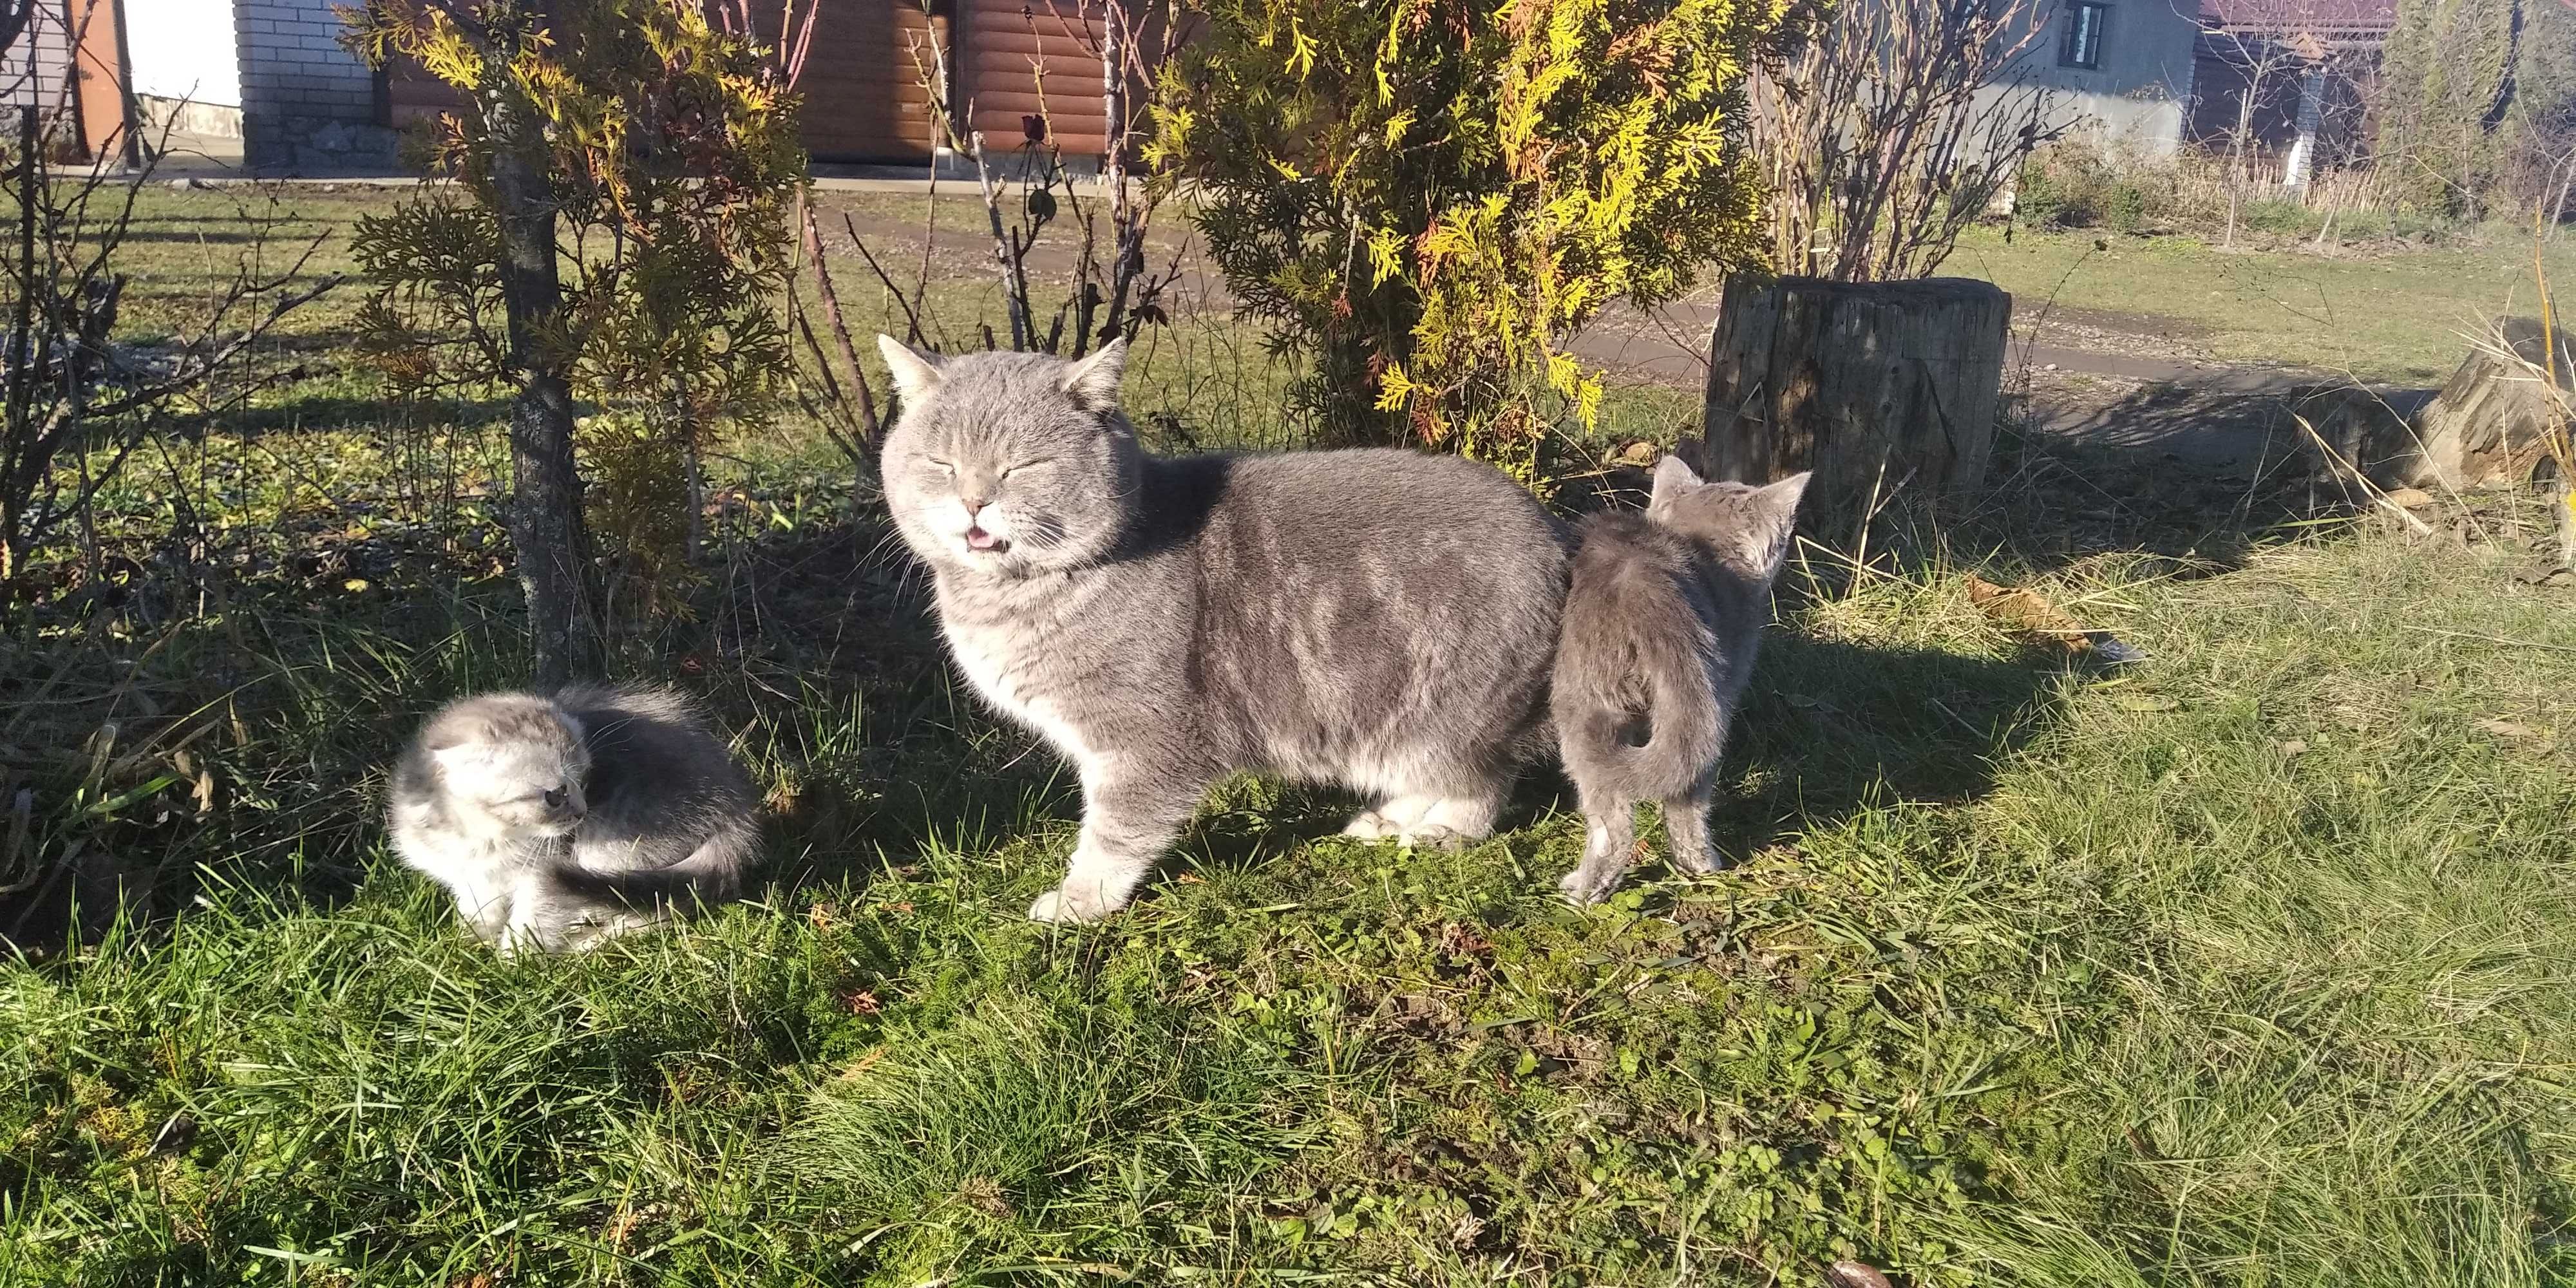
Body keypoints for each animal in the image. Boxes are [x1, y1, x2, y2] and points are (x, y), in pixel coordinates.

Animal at [381, 690, 757, 953]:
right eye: (555, 794)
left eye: (584, 780)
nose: (582, 812)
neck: (483, 838)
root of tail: (739, 806)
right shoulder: (470, 877)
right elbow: (480, 908)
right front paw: (472, 940)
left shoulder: (545, 870)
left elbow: (533, 917)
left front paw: (515, 962)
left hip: (613, 845)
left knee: (656, 909)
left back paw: (592, 942)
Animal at [876, 337, 1566, 922]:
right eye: (941, 463)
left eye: (1024, 466)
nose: (974, 501)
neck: (1011, 599)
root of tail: (1558, 538)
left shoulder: (1145, 739)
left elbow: (1116, 832)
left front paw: (1081, 900)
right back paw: (1387, 819)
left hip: (1446, 709)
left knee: (1482, 783)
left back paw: (1440, 831)